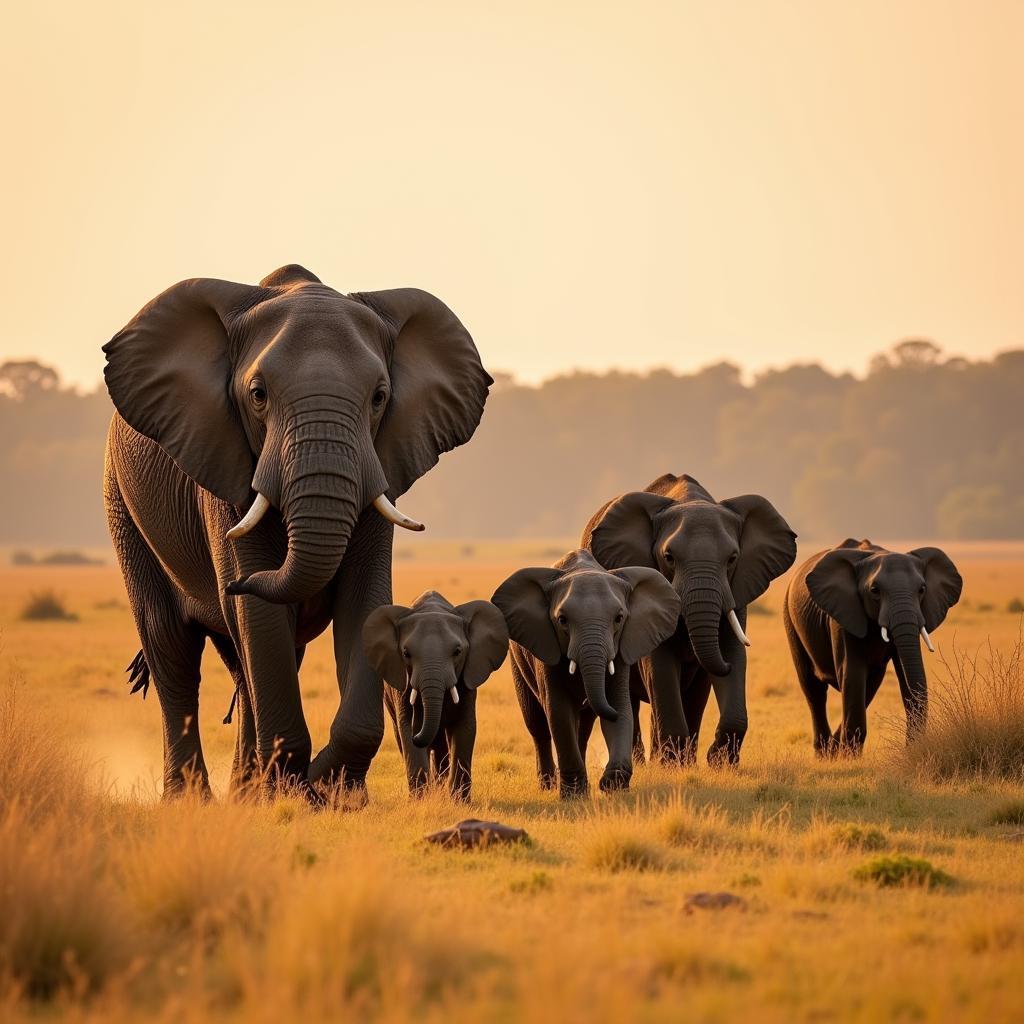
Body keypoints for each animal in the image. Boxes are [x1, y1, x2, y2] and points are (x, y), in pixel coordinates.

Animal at [102, 266, 491, 798]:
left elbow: (363, 600)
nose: (232, 584)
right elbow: (260, 617)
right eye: (257, 395)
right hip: (122, 506)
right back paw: (194, 799)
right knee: (173, 649)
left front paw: (333, 794)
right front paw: (296, 788)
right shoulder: (224, 472)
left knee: (243, 666)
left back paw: (246, 793)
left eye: (379, 397)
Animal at [362, 593, 509, 798]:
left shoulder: (468, 676)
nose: (417, 736)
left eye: (457, 651)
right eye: (406, 653)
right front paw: (421, 800)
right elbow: (406, 725)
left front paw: (459, 801)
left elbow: (465, 726)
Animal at [493, 552, 684, 798]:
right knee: (538, 725)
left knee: (583, 727)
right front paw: (573, 795)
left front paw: (612, 786)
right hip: (517, 660)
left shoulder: (620, 650)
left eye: (619, 618)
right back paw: (547, 786)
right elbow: (558, 711)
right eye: (562, 620)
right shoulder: (546, 647)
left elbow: (618, 705)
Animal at [581, 475, 794, 765]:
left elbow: (732, 651)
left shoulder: (737, 588)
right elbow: (660, 664)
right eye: (669, 558)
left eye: (732, 558)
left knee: (692, 697)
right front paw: (673, 765)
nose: (724, 666)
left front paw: (718, 762)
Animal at [782, 540, 958, 757]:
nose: (910, 748)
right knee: (814, 690)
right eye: (875, 590)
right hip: (790, 618)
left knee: (870, 686)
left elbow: (903, 674)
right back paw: (824, 754)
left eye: (922, 589)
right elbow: (852, 674)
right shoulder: (843, 615)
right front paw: (849, 758)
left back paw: (833, 749)